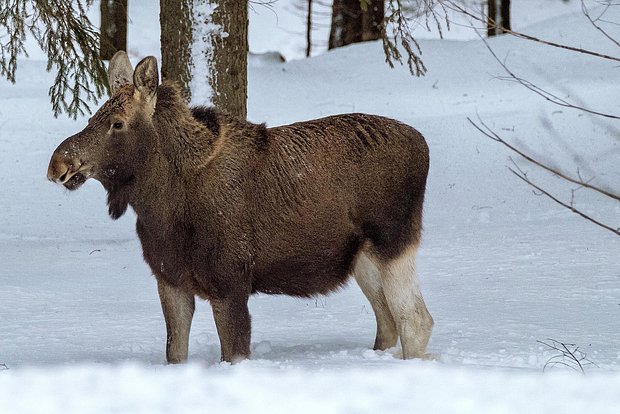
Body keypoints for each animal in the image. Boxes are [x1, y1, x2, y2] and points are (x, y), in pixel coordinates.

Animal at [47, 51, 432, 362]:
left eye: (117, 123)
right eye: (91, 118)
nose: (57, 164)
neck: (160, 206)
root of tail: (423, 144)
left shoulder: (229, 282)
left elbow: (233, 353)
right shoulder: (170, 279)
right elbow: (175, 353)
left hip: (393, 243)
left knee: (416, 319)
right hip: (362, 258)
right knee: (388, 322)